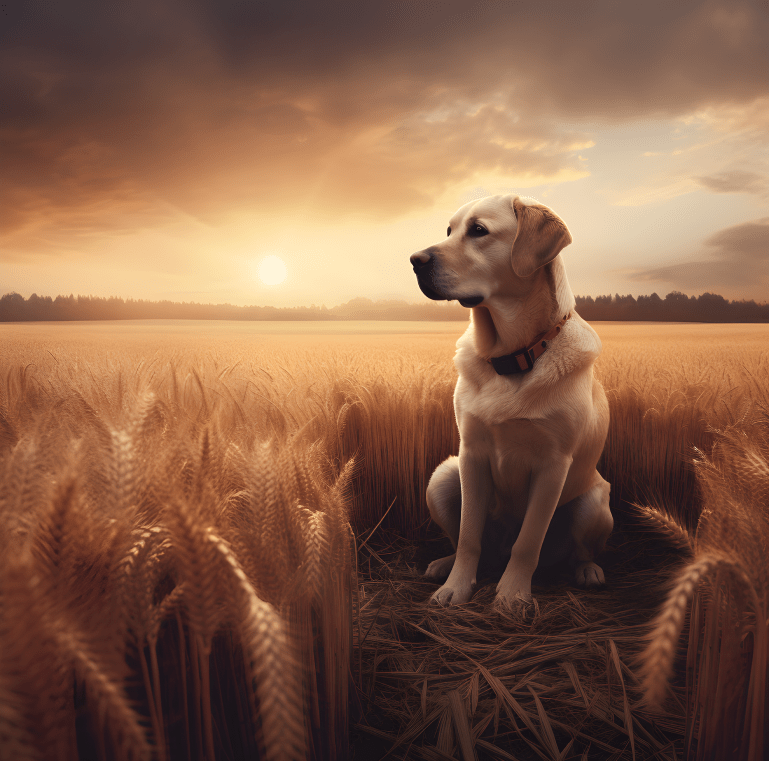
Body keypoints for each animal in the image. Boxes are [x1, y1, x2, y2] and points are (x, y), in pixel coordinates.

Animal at [408, 193, 612, 608]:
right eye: (449, 230)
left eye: (479, 230)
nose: (415, 260)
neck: (512, 357)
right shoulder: (471, 454)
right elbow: (468, 536)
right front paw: (456, 586)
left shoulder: (554, 465)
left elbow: (528, 541)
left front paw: (512, 594)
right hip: (442, 478)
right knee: (472, 542)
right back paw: (443, 564)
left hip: (595, 501)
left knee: (577, 550)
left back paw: (587, 571)